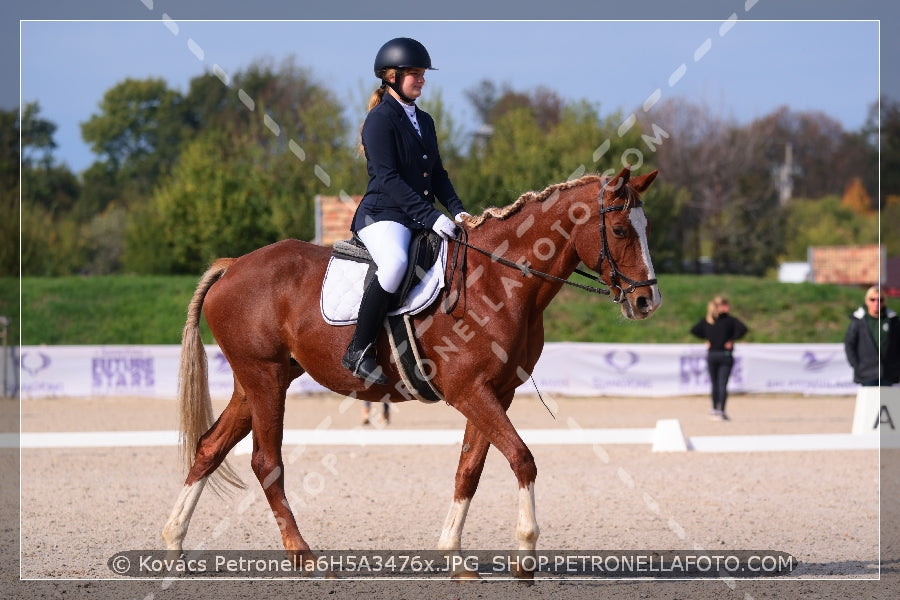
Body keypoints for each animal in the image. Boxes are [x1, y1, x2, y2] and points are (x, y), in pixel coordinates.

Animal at [163, 165, 660, 576]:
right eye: (619, 229)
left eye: (646, 229)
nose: (646, 301)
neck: (498, 281)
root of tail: (233, 267)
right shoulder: (469, 391)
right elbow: (522, 458)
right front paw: (524, 554)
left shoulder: (495, 393)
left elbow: (469, 469)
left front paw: (454, 557)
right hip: (264, 378)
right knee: (266, 462)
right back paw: (303, 556)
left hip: (259, 381)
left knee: (209, 448)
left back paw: (174, 545)